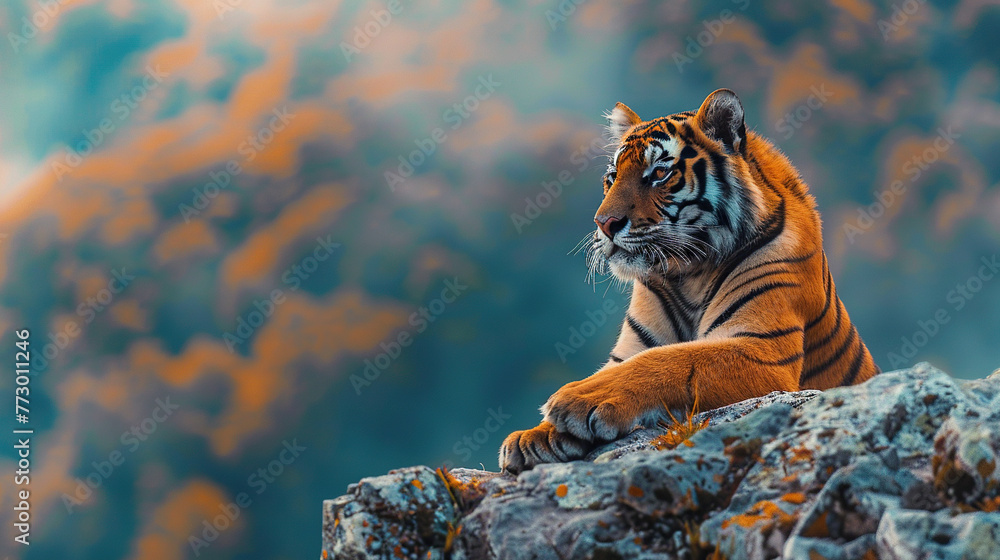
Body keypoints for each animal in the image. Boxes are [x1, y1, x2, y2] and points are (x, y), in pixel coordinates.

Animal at [500, 89, 880, 474]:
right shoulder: (628, 351)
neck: (690, 273)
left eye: (659, 173)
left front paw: (576, 399)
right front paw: (533, 436)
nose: (604, 224)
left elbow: (673, 360)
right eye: (612, 176)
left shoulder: (762, 348)